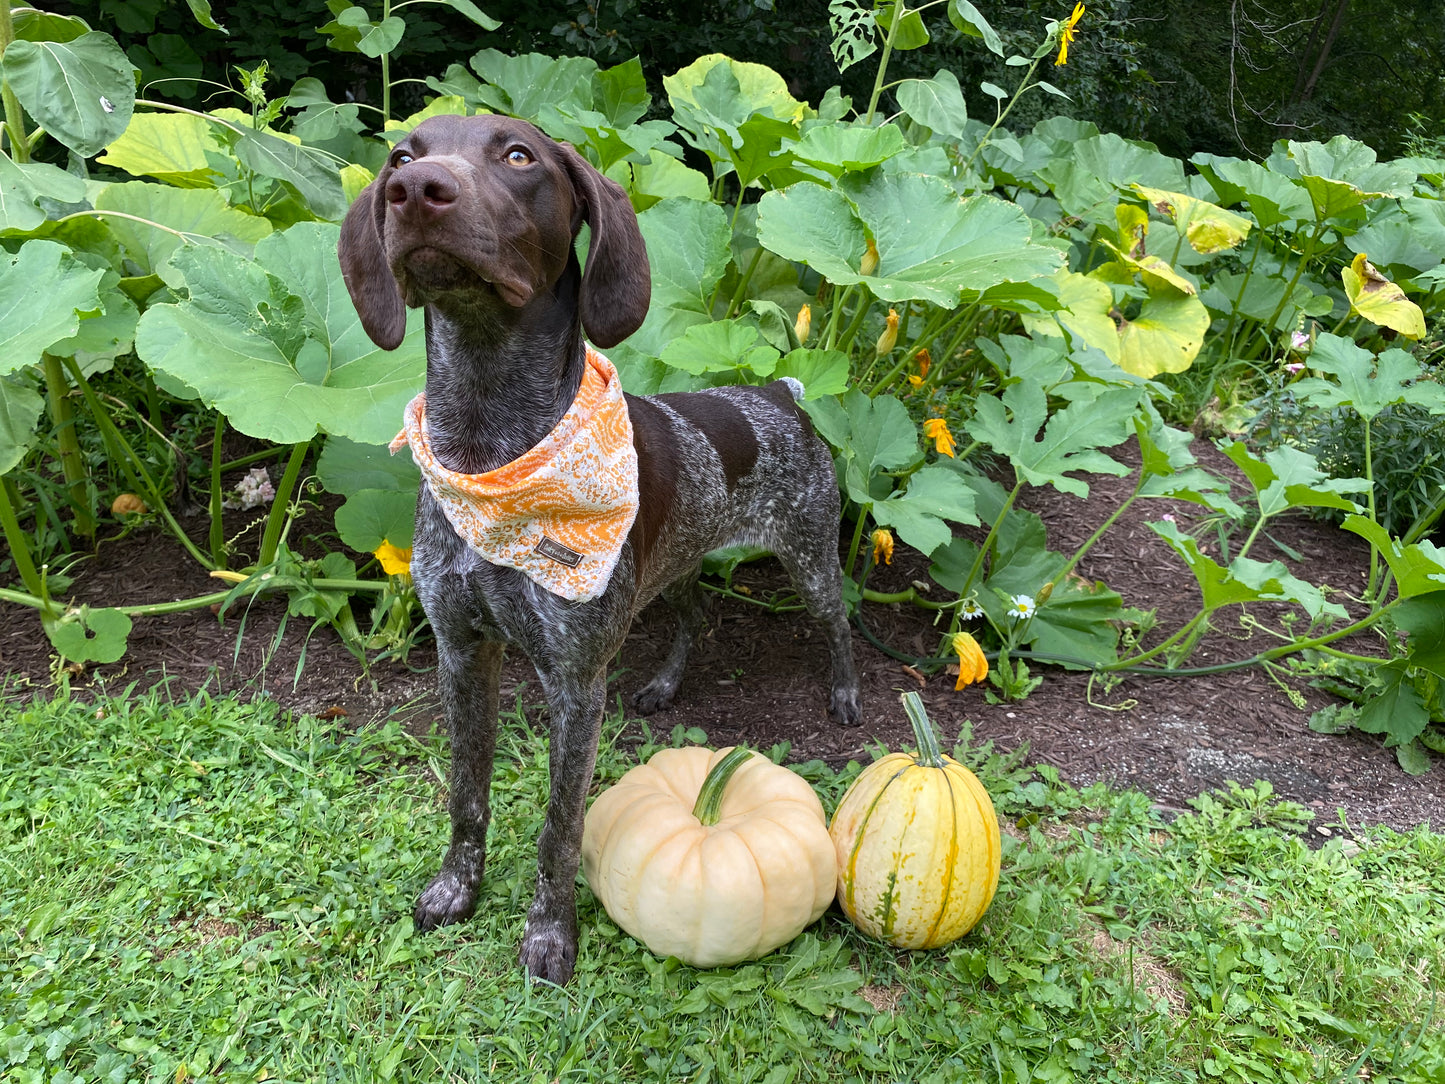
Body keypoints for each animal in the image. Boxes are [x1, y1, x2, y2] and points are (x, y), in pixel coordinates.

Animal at [338, 117, 855, 982]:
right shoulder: (460, 651)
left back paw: (845, 694)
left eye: (518, 156)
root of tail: (776, 393)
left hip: (810, 556)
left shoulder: (575, 684)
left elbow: (560, 825)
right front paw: (455, 889)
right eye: (401, 158)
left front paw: (549, 936)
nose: (417, 191)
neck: (488, 443)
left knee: (839, 625)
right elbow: (465, 794)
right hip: (672, 565)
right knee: (693, 619)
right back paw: (666, 685)